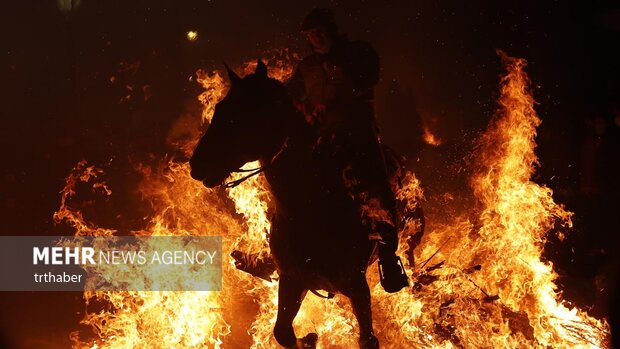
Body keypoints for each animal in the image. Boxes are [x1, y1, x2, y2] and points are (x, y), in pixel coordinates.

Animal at [189, 61, 388, 346]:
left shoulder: (356, 286)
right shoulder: (293, 280)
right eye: (219, 108)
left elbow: (367, 339)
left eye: (239, 115)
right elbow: (282, 333)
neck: (310, 211)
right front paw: (310, 339)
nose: (196, 164)